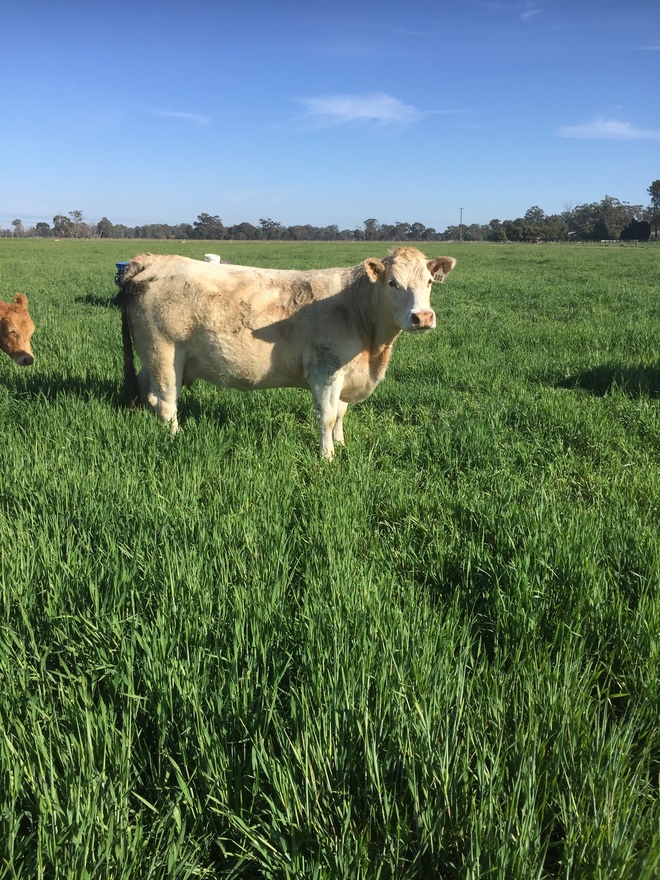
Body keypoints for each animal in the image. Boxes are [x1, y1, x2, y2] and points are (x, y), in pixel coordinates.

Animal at [116, 247, 456, 460]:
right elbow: (328, 417)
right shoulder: (325, 372)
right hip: (164, 351)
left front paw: (342, 444)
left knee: (147, 391)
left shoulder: (345, 375)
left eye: (429, 281)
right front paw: (328, 456)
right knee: (166, 402)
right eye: (392, 282)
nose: (422, 317)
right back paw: (174, 438)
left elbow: (341, 414)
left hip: (153, 355)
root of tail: (152, 260)